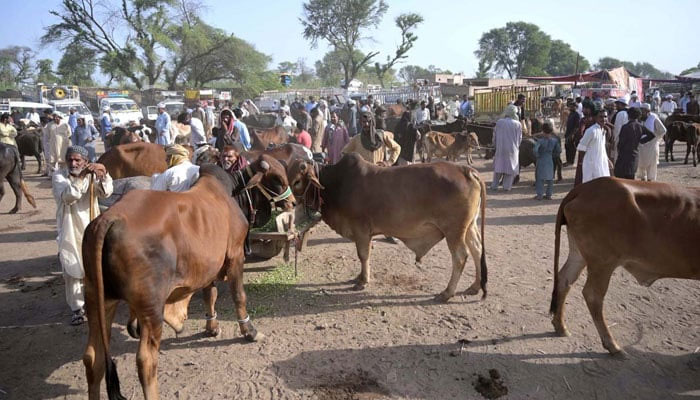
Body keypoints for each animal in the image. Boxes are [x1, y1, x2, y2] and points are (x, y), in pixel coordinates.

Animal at [82, 160, 296, 400]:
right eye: (276, 179)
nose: (293, 202)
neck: (232, 192)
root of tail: (109, 219)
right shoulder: (235, 255)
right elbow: (239, 296)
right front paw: (249, 331)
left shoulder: (209, 266)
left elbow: (209, 295)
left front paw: (212, 327)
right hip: (150, 308)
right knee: (146, 362)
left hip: (97, 299)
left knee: (93, 358)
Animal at [288, 155, 490, 302]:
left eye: (297, 181)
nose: (289, 203)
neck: (335, 184)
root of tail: (466, 170)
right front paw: (359, 277)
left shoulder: (361, 230)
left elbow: (363, 255)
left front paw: (363, 280)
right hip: (469, 227)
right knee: (477, 249)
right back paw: (475, 286)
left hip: (454, 231)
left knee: (460, 257)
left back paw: (447, 293)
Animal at [552, 178, 700, 356]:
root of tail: (586, 187)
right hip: (603, 261)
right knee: (592, 295)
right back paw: (612, 345)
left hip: (579, 254)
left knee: (565, 279)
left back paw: (561, 326)